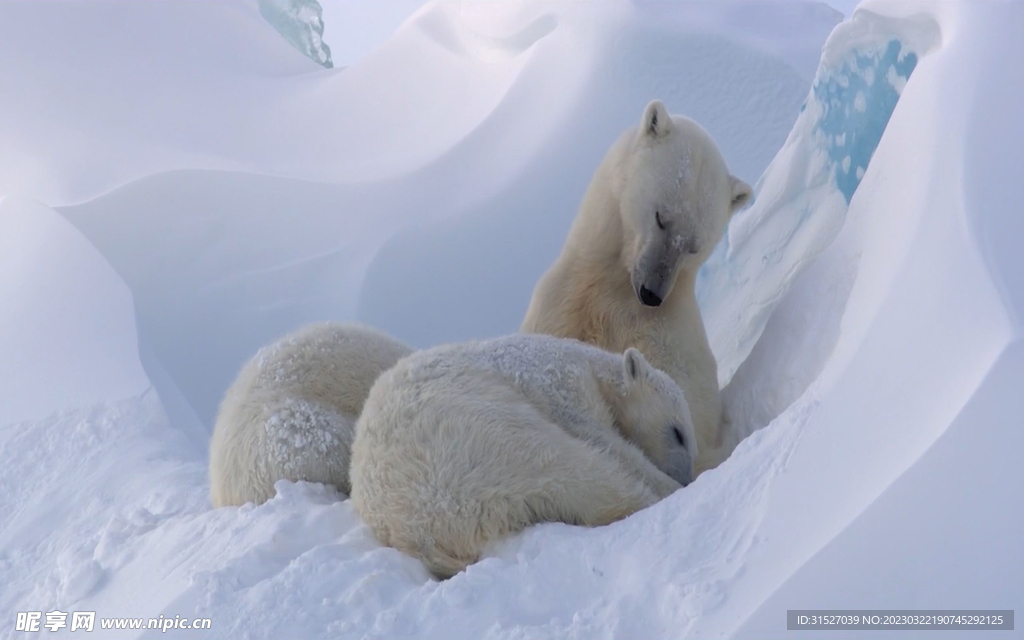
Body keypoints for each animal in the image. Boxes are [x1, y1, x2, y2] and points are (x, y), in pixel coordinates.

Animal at [350, 333, 696, 577]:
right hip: (471, 443)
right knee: (571, 466)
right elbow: (598, 436)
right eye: (678, 432)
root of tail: (417, 534)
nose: (687, 476)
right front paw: (669, 484)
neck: (589, 364)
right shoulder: (556, 381)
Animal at [520, 99, 753, 475]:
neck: (613, 289)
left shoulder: (668, 343)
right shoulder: (561, 305)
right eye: (661, 217)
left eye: (694, 246)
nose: (652, 293)